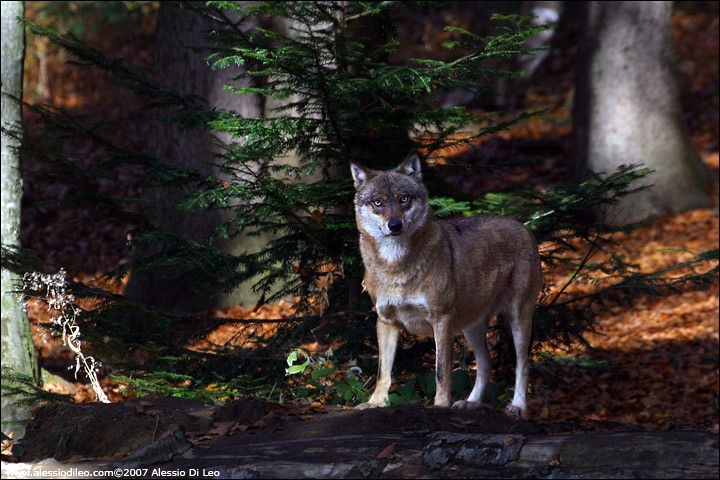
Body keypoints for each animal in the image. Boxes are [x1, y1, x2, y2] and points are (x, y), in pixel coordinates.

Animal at [350, 151, 543, 418]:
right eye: (378, 203)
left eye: (403, 199)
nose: (395, 225)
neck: (396, 266)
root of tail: (523, 226)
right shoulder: (386, 321)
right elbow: (383, 373)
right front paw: (375, 403)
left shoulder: (441, 320)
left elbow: (441, 372)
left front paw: (440, 406)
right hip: (471, 327)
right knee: (486, 363)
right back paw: (471, 402)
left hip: (518, 319)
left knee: (522, 365)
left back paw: (517, 406)